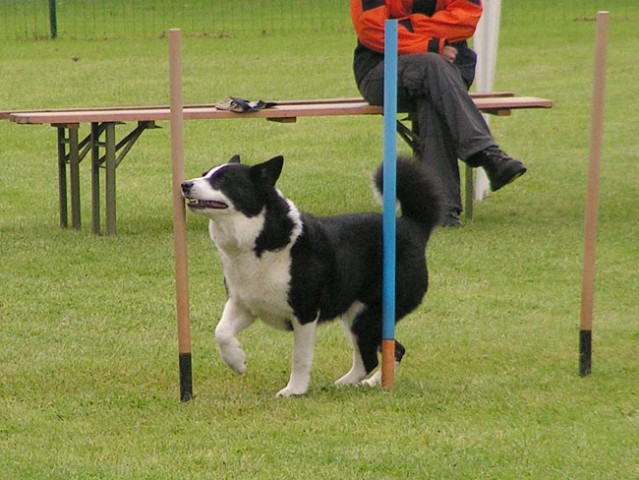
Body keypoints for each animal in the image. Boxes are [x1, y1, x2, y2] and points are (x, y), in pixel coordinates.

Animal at [180, 155, 440, 398]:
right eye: (205, 174)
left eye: (223, 179)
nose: (184, 184)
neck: (260, 238)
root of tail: (413, 227)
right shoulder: (245, 304)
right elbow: (221, 332)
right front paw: (238, 362)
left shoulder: (305, 313)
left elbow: (300, 357)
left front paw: (293, 391)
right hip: (357, 316)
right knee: (379, 354)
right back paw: (355, 383)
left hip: (369, 316)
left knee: (385, 352)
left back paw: (370, 383)